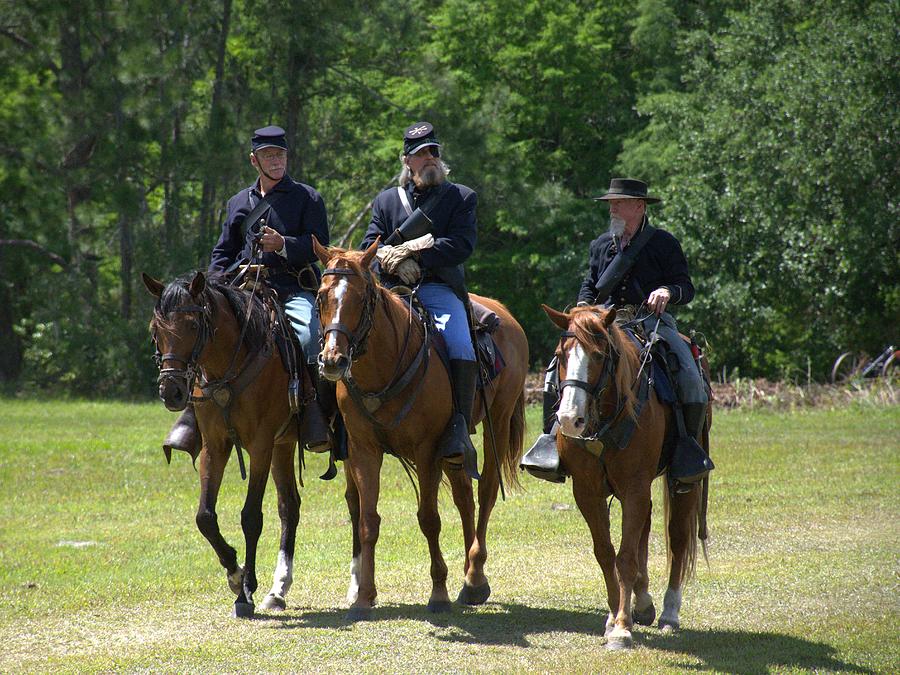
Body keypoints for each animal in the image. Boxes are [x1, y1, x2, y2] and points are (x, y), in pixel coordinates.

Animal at [144, 272, 304, 620]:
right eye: (155, 330)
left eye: (193, 325)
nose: (171, 391)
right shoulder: (215, 446)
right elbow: (205, 516)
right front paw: (235, 573)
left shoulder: (260, 446)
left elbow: (251, 517)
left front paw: (245, 592)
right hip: (284, 446)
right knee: (289, 506)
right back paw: (278, 588)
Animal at [314, 240, 532, 620]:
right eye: (321, 297)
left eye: (361, 298)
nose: (333, 360)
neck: (383, 368)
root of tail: (503, 313)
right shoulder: (363, 451)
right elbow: (368, 520)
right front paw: (363, 597)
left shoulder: (427, 451)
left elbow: (429, 518)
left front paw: (438, 594)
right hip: (456, 445)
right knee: (465, 499)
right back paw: (468, 576)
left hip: (499, 423)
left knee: (486, 493)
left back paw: (475, 577)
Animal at [540, 304, 712, 648]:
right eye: (560, 355)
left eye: (598, 355)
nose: (569, 419)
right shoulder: (588, 492)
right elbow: (607, 553)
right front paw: (613, 618)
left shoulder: (634, 489)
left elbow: (626, 556)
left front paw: (621, 627)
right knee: (644, 530)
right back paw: (642, 602)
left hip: (682, 484)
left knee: (677, 538)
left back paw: (669, 613)